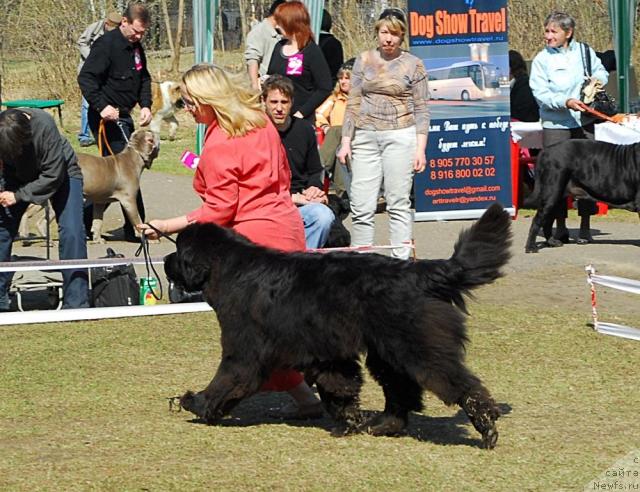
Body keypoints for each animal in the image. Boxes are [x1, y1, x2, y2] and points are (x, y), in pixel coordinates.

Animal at [168, 202, 512, 448]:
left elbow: (227, 379)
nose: (168, 262)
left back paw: (486, 424)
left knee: (458, 382)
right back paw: (384, 425)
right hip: (386, 351)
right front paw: (349, 422)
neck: (229, 268)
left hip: (418, 345)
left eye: (178, 250)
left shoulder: (244, 349)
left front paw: (197, 403)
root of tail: (416, 271)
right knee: (400, 389)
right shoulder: (326, 351)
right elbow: (340, 387)